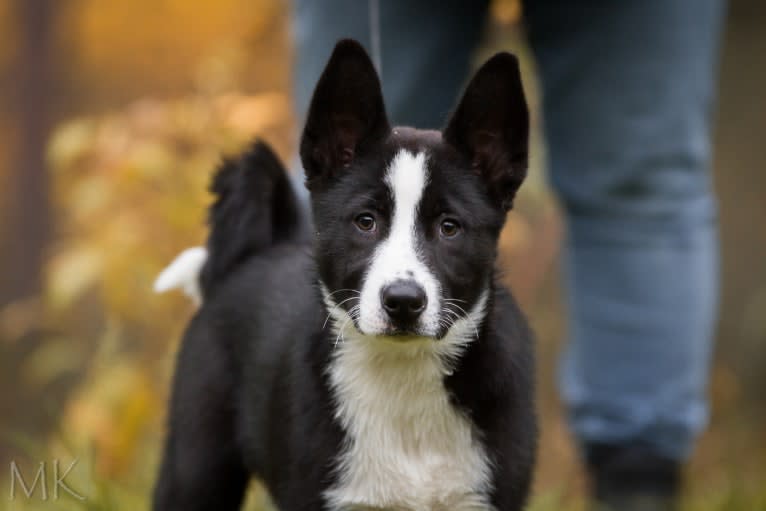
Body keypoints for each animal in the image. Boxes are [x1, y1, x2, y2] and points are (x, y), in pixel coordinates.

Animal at [154, 40, 540, 511]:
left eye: (450, 227)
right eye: (365, 221)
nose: (403, 302)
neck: (403, 379)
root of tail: (251, 256)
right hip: (196, 469)